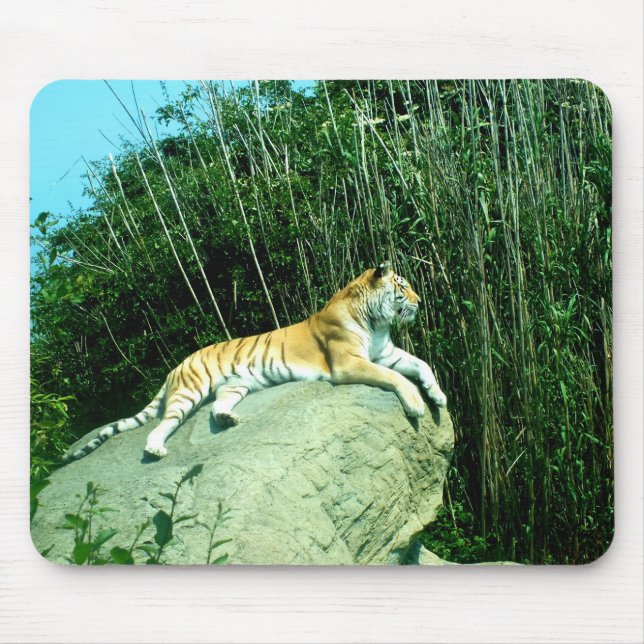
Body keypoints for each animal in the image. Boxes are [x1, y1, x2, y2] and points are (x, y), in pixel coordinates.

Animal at [63, 261, 447, 462]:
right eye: (403, 286)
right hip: (188, 393)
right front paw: (417, 404)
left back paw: (228, 419)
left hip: (236, 386)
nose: (421, 300)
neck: (375, 321)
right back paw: (156, 448)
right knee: (161, 425)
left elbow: (422, 365)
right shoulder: (349, 363)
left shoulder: (385, 353)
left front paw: (438, 396)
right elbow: (397, 378)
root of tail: (175, 366)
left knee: (218, 407)